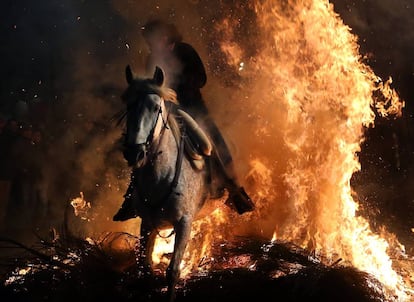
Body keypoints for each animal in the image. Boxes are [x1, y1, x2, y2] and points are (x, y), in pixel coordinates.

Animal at [118, 65, 217, 300]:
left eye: (156, 108)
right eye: (129, 104)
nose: (134, 153)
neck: (161, 178)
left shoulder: (184, 223)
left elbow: (172, 272)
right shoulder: (147, 223)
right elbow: (144, 266)